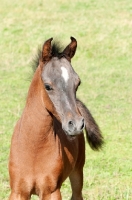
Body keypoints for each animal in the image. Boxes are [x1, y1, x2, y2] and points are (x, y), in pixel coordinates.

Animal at [8, 36, 103, 199]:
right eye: (47, 86)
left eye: (77, 83)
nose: (76, 124)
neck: (34, 148)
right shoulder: (18, 192)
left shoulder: (51, 191)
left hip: (77, 171)